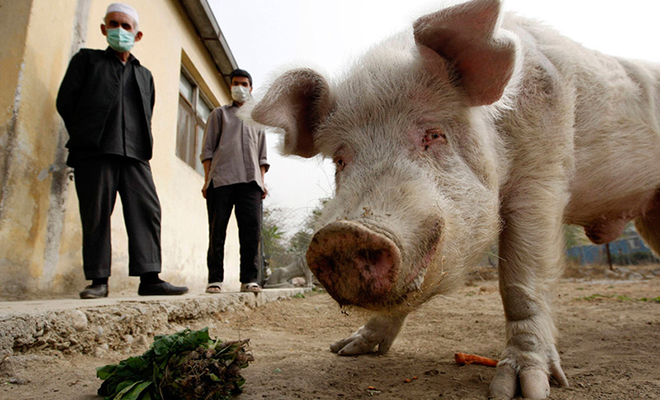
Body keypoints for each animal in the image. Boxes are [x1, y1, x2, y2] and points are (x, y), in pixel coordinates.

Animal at [246, 1, 660, 398]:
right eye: (341, 159)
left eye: (434, 135)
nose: (345, 234)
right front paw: (346, 350)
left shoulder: (543, 171)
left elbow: (521, 282)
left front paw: (522, 389)